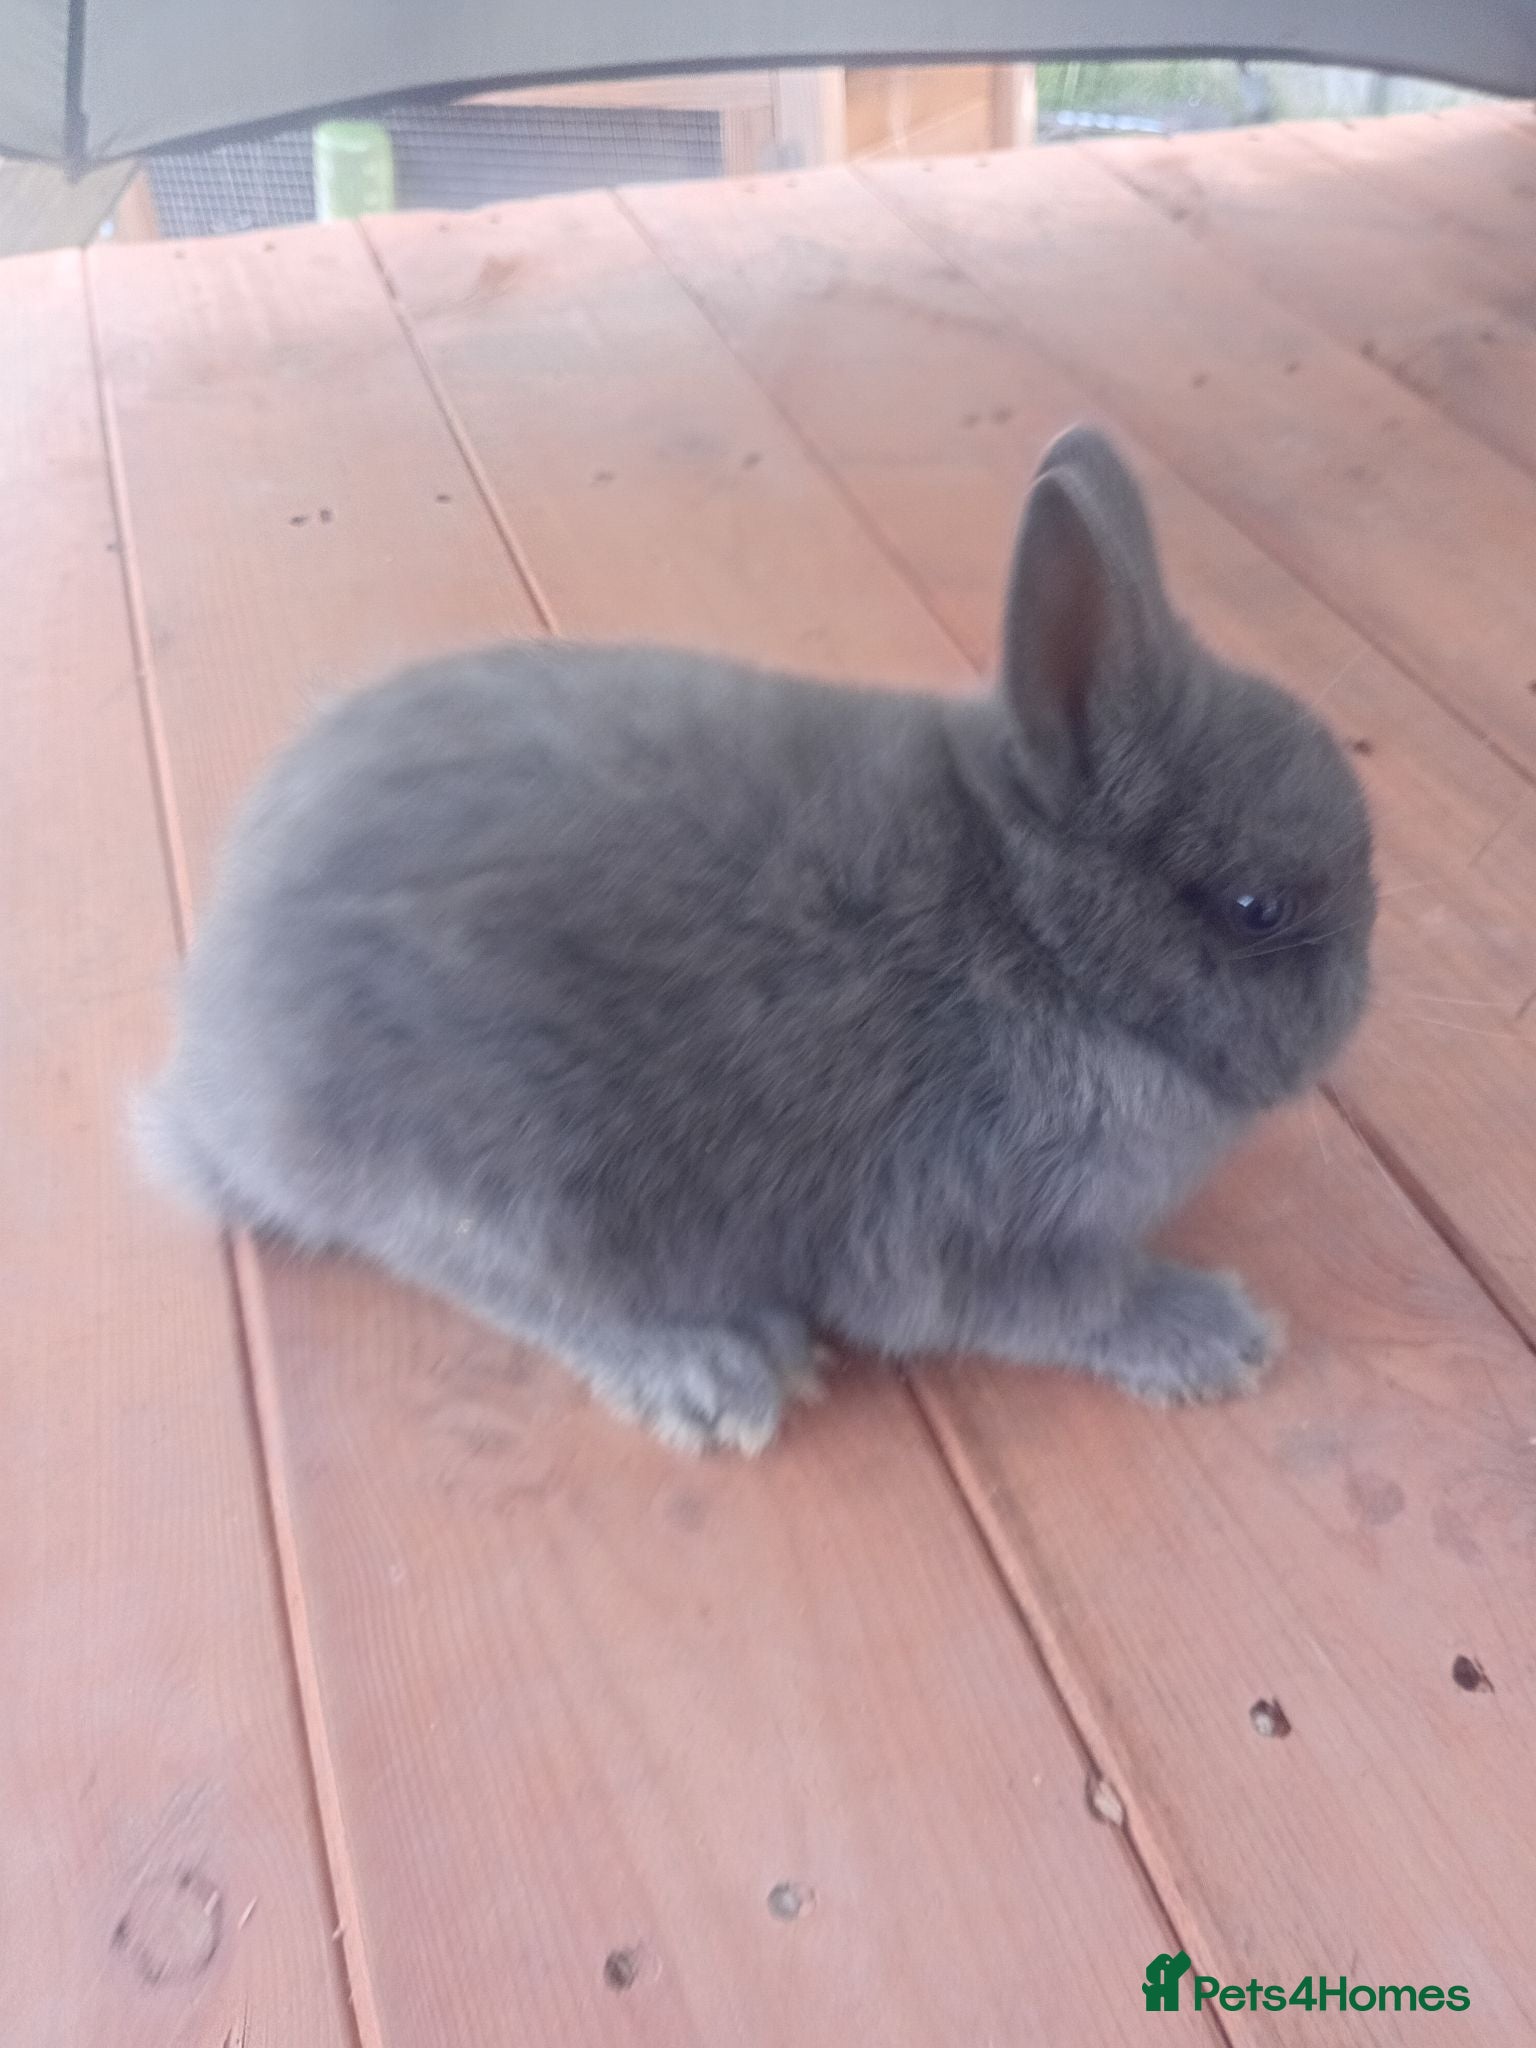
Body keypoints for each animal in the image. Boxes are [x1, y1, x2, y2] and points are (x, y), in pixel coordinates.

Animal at [137, 425, 1374, 1454]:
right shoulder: (957, 1225)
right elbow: (1071, 1302)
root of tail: (211, 1092)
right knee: (499, 1279)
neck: (1034, 925)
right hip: (510, 1172)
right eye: (1256, 908)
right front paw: (1217, 1330)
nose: (1358, 997)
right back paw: (713, 1368)